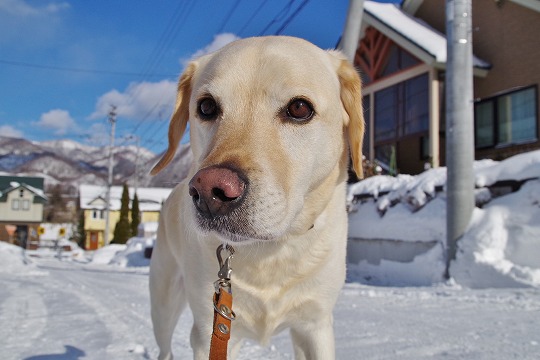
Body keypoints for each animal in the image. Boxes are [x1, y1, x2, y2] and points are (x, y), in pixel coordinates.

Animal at [150, 37, 364, 360]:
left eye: (299, 108)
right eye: (206, 106)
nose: (210, 191)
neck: (270, 253)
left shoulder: (314, 325)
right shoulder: (209, 330)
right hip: (163, 303)